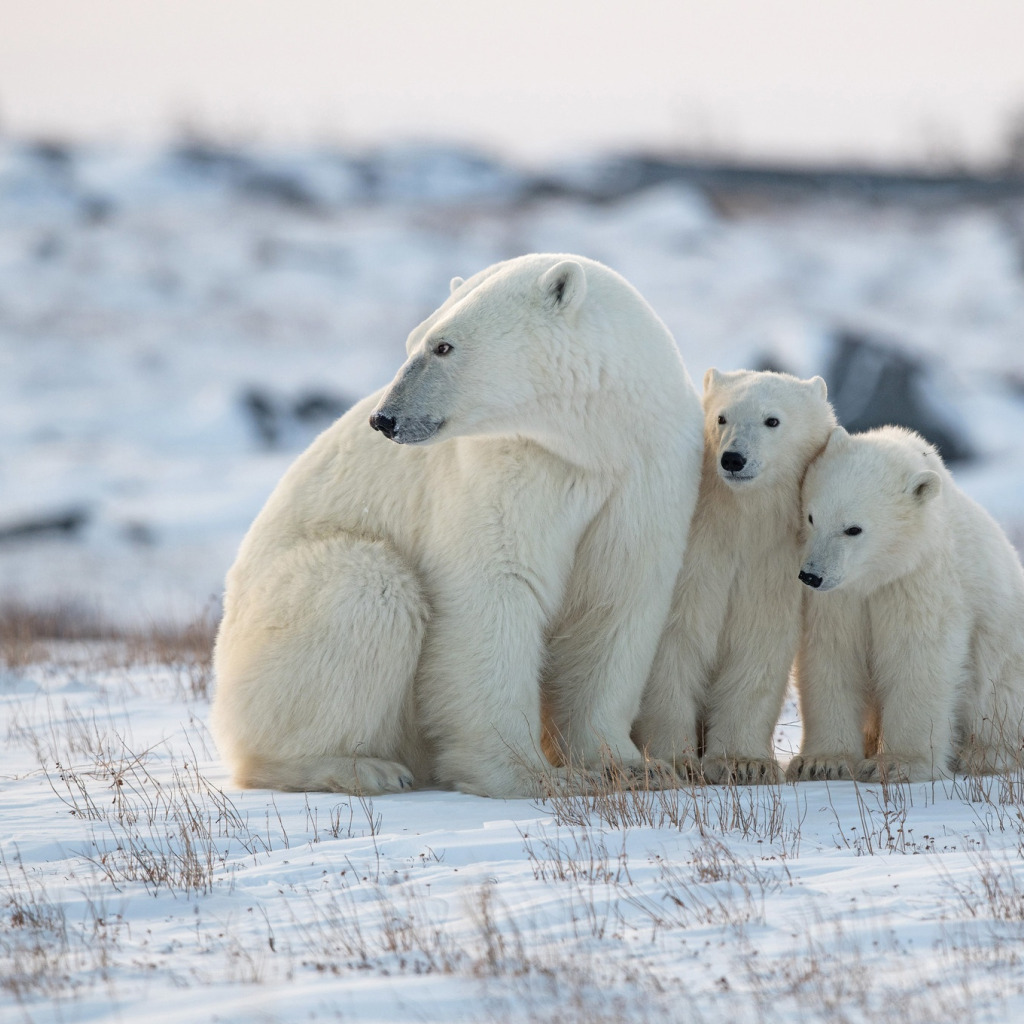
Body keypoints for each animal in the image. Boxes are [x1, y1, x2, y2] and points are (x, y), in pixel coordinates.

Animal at [207, 253, 704, 798]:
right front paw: (532, 775)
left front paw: (635, 766)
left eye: (443, 346)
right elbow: (495, 593)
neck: (595, 442)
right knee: (366, 586)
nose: (384, 419)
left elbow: (617, 599)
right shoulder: (508, 468)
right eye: (413, 341)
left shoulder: (646, 473)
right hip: (266, 626)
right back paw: (360, 767)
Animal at [630, 368, 839, 782]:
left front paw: (744, 763)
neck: (738, 520)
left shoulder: (771, 565)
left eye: (772, 420)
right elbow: (672, 647)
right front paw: (676, 760)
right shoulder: (693, 561)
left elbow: (756, 647)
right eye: (721, 417)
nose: (733, 458)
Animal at [786, 423, 1024, 782]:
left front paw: (896, 763)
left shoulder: (919, 581)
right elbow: (832, 652)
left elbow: (917, 655)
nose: (811, 575)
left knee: (995, 695)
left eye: (853, 529)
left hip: (1007, 658)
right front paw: (822, 762)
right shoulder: (839, 599)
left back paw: (982, 755)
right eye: (812, 516)